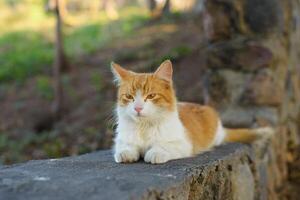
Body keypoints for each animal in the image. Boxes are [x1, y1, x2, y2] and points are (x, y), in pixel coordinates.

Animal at [110, 59, 274, 164]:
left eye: (151, 96)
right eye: (129, 97)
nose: (137, 108)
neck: (145, 127)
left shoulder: (184, 144)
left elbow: (164, 146)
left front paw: (155, 152)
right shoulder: (122, 140)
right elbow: (125, 146)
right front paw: (126, 153)